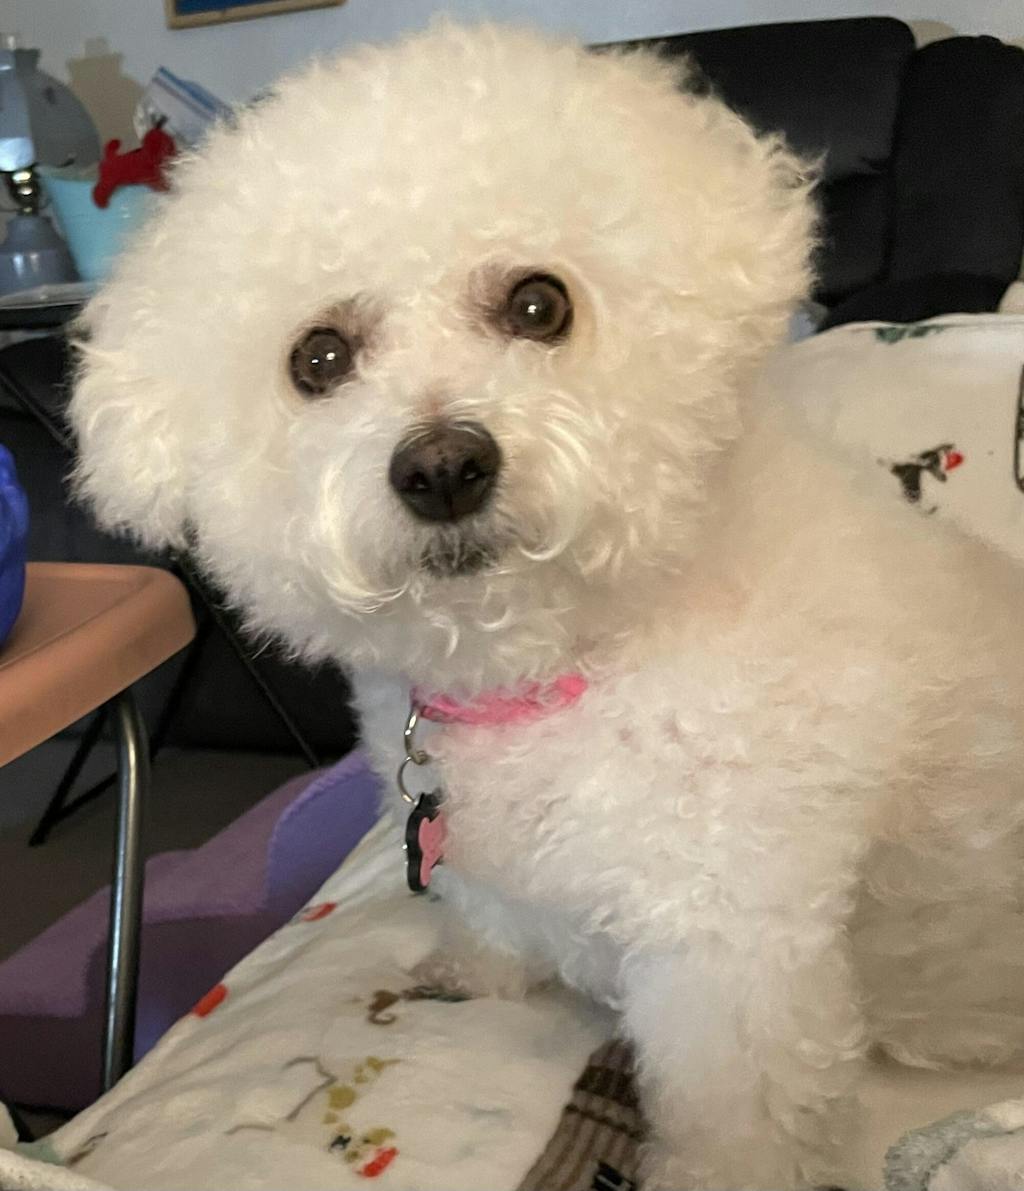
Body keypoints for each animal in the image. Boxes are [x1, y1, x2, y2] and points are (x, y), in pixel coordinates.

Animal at [69, 23, 1024, 1190]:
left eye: (539, 303)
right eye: (318, 358)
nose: (441, 467)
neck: (567, 657)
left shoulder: (732, 950)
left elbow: (737, 1118)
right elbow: (489, 906)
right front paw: (475, 968)